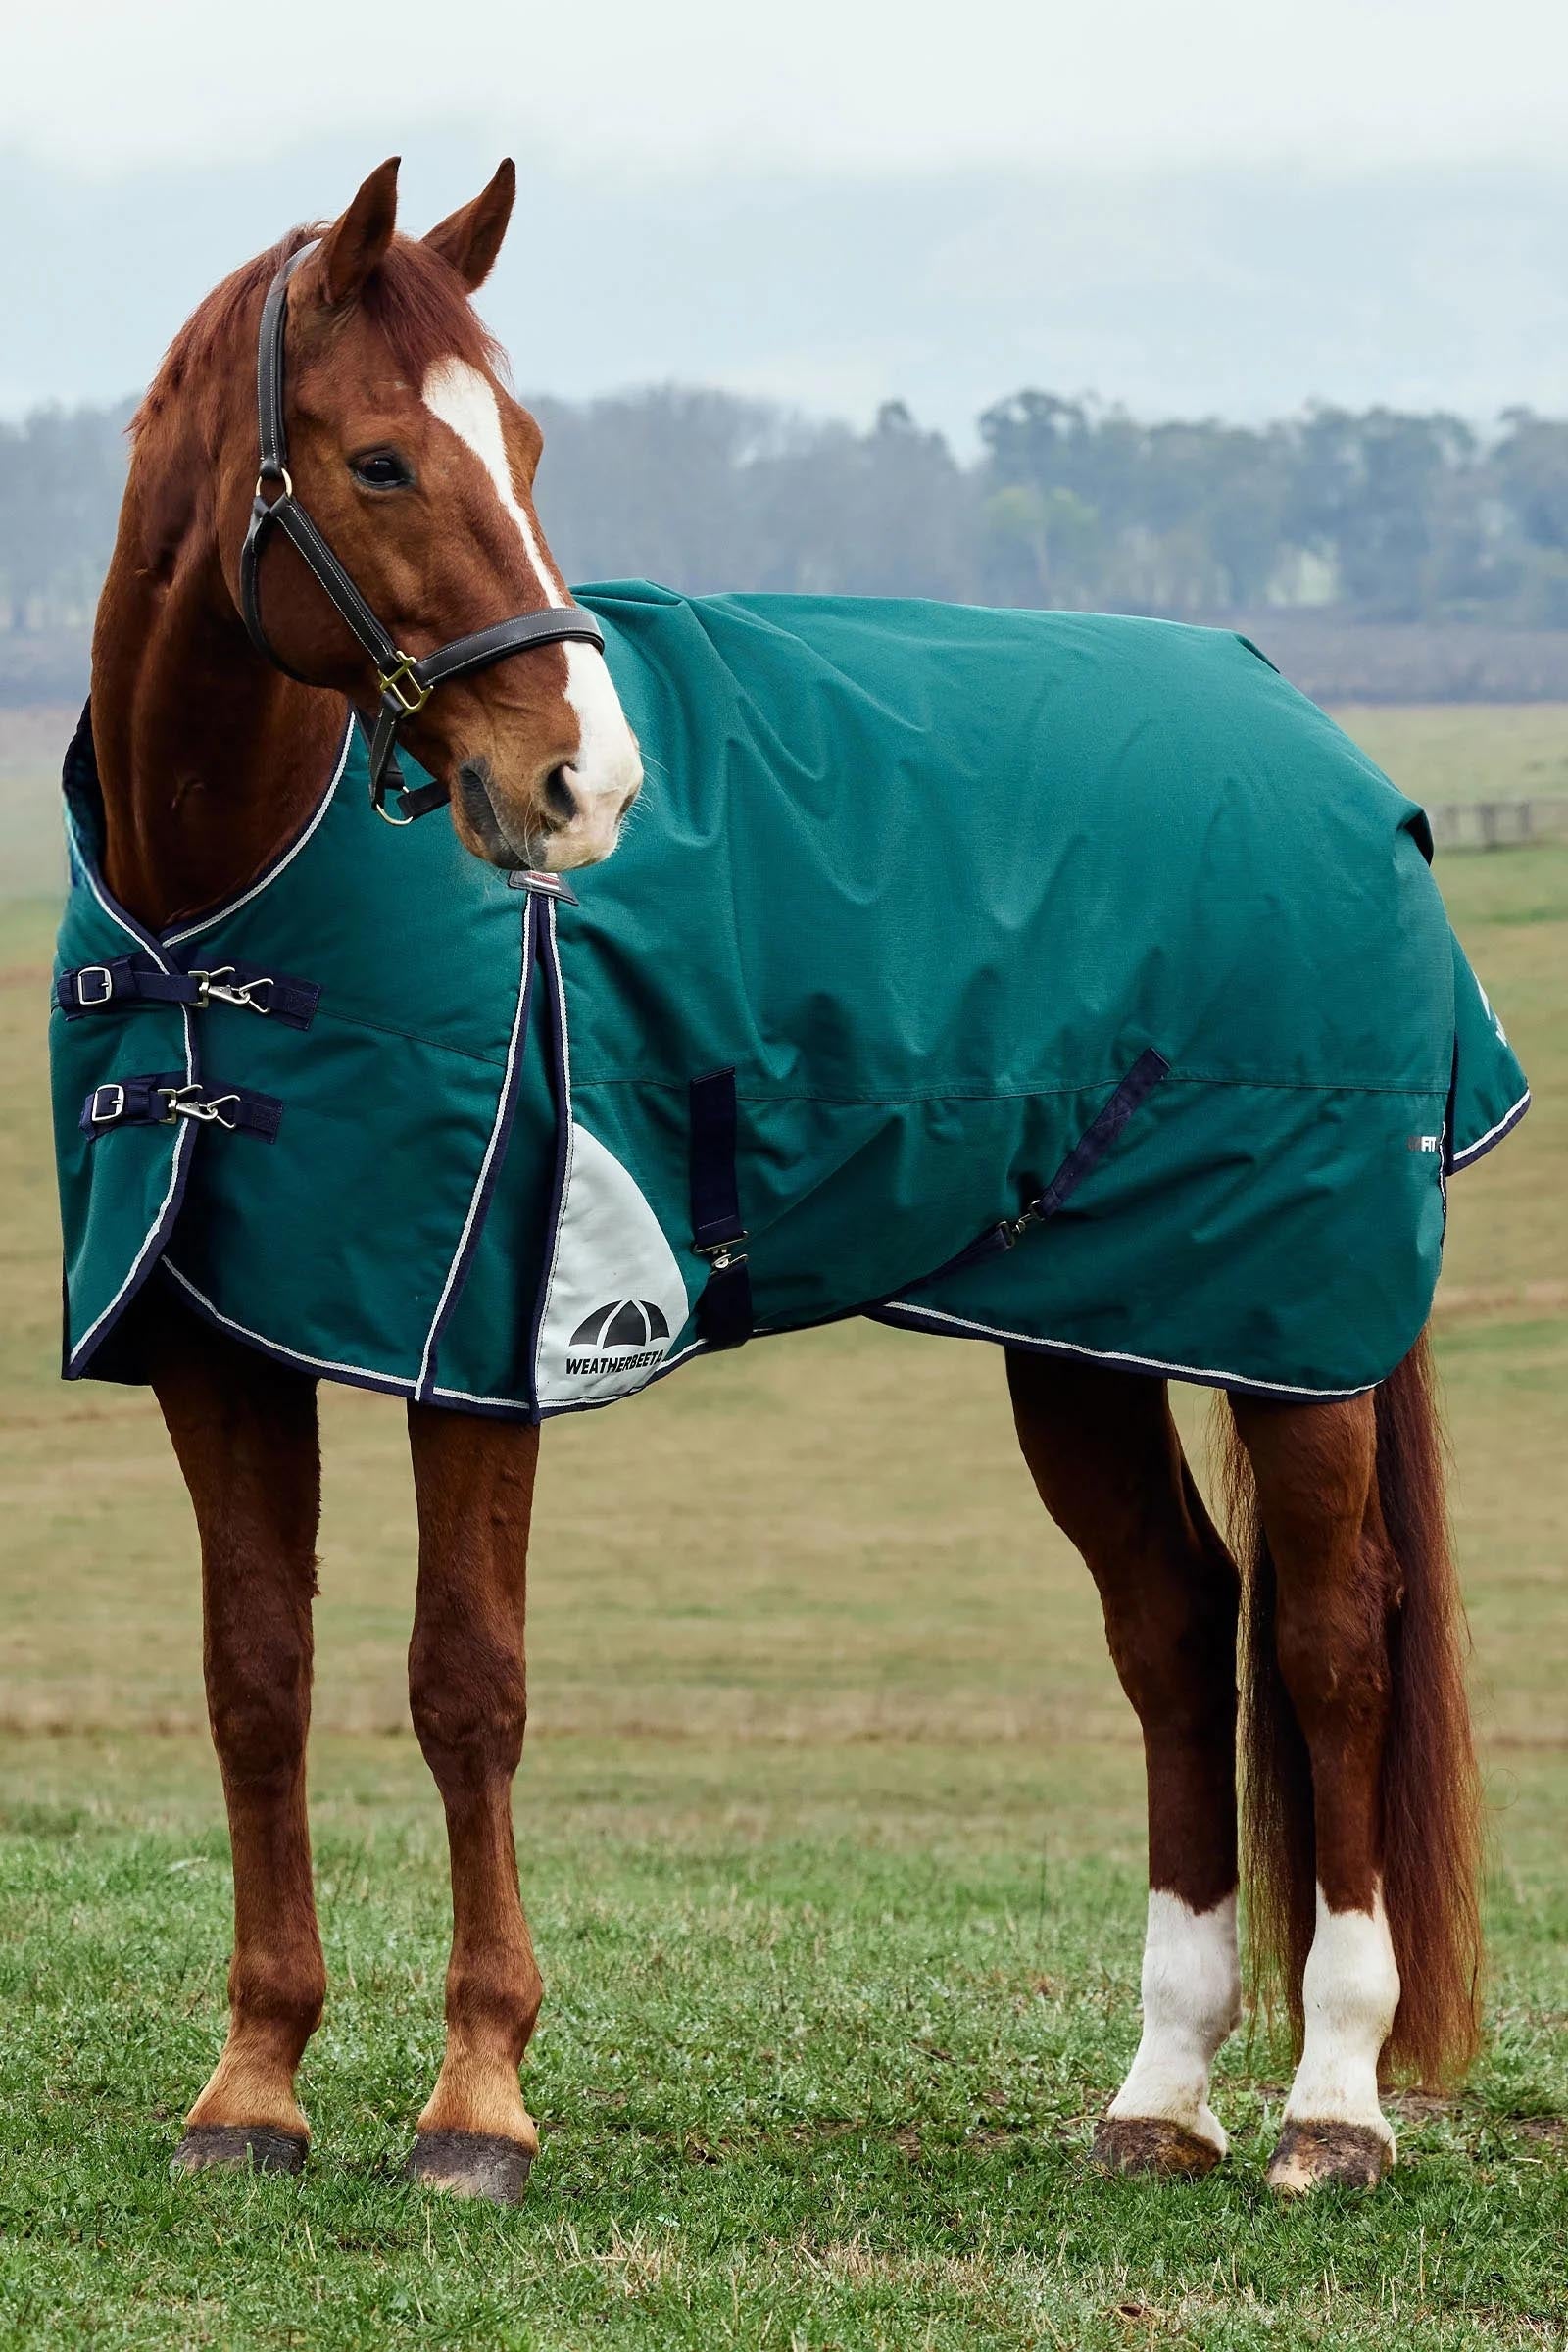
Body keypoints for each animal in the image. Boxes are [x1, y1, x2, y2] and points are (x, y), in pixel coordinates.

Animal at [73, 155, 1485, 2204]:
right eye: (381, 461)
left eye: (528, 444)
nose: (582, 786)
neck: (228, 910)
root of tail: (1323, 742)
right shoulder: (220, 1348)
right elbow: (256, 1678)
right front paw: (252, 2088)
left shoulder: (484, 1345)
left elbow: (463, 1684)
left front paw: (477, 2101)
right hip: (1083, 1322)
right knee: (1174, 1626)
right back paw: (1162, 2094)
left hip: (1293, 1323)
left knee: (1327, 1636)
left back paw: (1333, 2107)